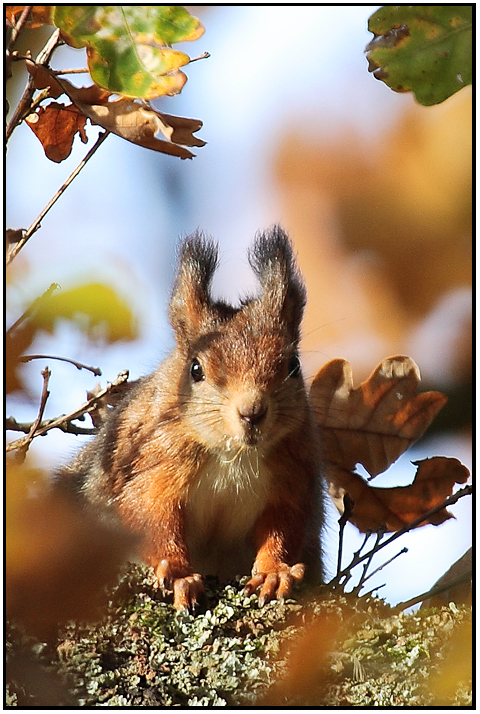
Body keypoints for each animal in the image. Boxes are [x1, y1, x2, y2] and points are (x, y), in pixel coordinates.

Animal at [59, 227, 322, 608]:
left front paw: (274, 572)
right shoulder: (151, 465)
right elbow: (152, 518)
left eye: (294, 365)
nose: (252, 412)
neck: (233, 453)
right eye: (195, 369)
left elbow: (283, 529)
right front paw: (179, 573)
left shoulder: (291, 477)